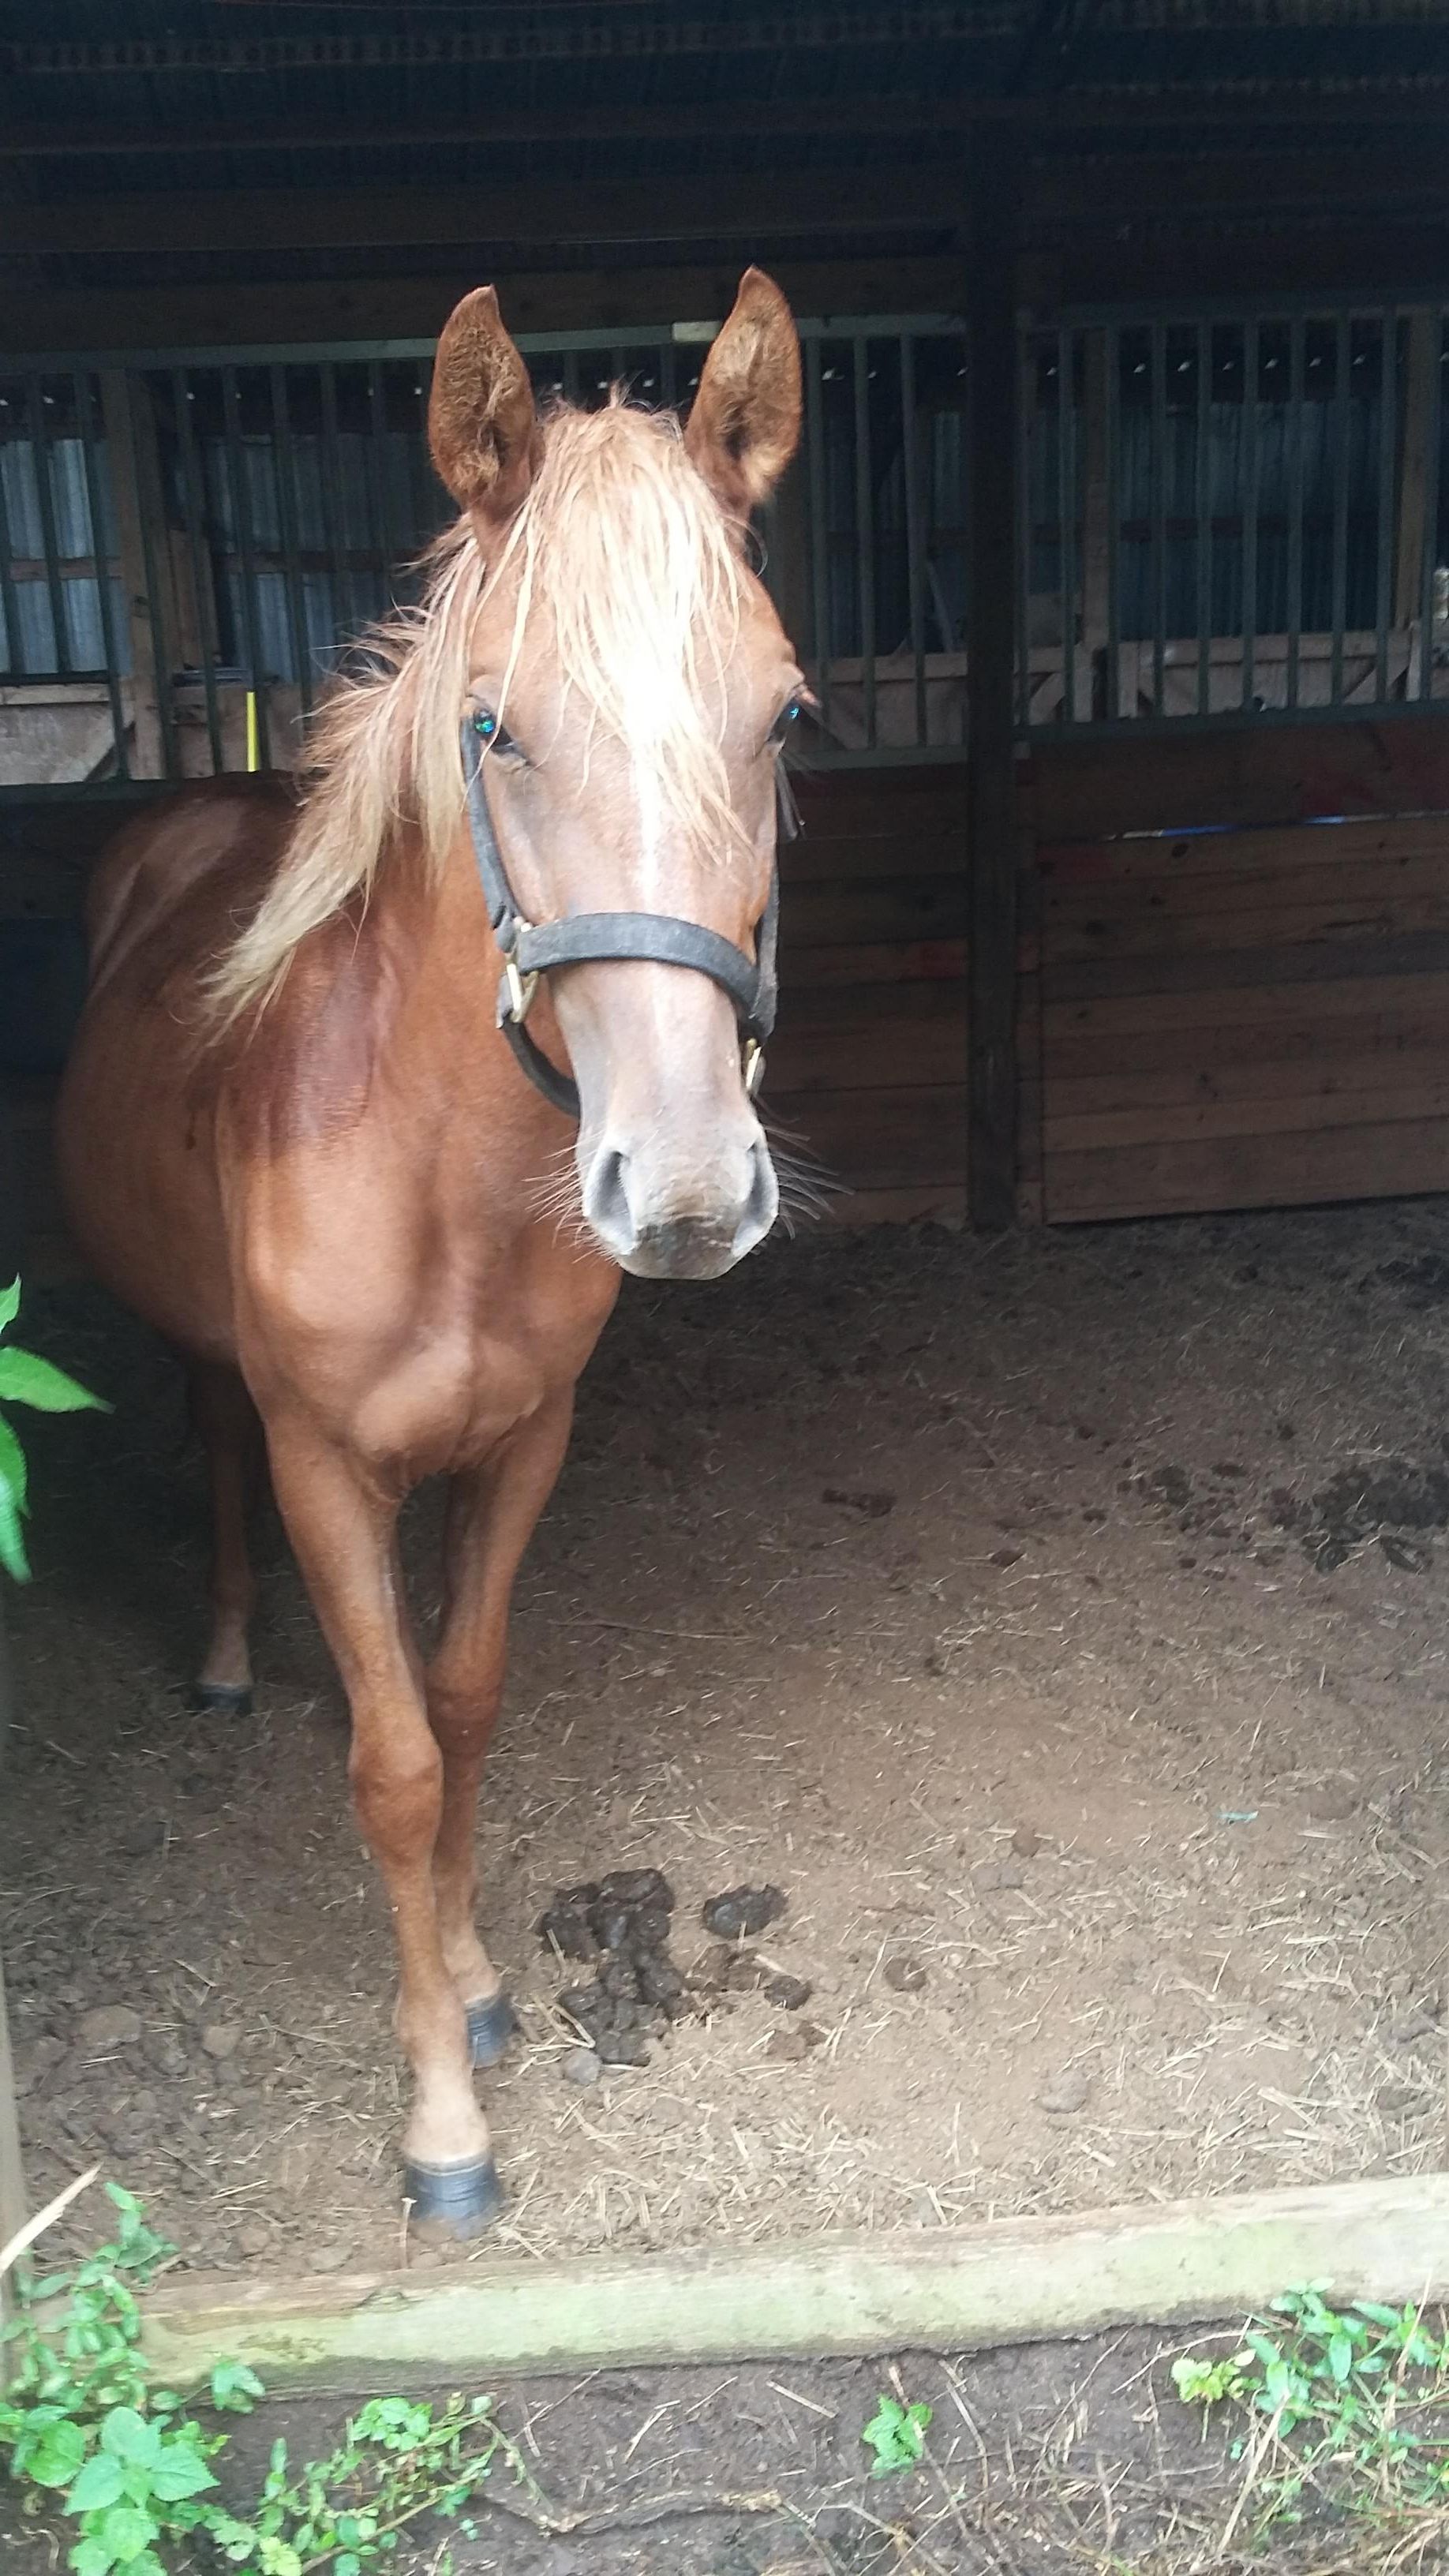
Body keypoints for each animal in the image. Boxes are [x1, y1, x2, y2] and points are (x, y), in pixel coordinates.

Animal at [55, 269, 804, 2235]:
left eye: (784, 717)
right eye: (496, 729)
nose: (682, 1187)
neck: (443, 1183)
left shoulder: (524, 1442)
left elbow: (460, 1707)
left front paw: (468, 1989)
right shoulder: (327, 1457)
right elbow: (391, 1769)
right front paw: (445, 2135)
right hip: (227, 1388)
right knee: (214, 1452)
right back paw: (230, 1654)